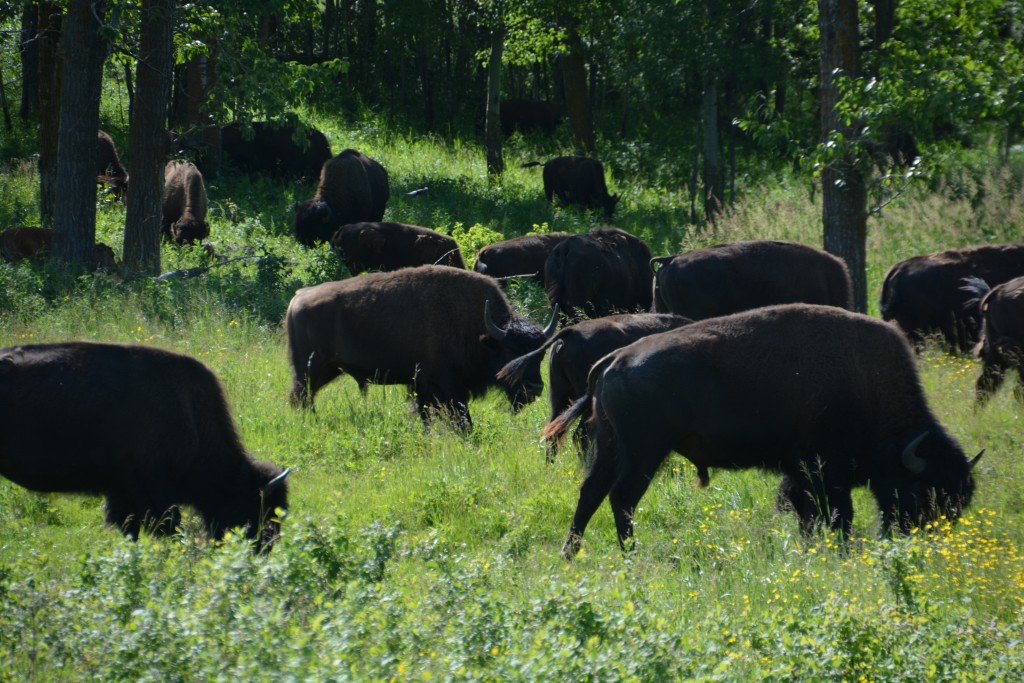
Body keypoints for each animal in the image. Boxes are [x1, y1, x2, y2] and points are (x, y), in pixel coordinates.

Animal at [0, 342, 290, 550]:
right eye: (258, 510)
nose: (263, 549)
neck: (190, 413)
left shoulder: (123, 492)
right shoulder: (153, 489)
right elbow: (168, 528)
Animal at [285, 265, 558, 428]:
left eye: (540, 354)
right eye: (511, 352)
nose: (534, 387)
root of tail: (297, 298)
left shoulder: (427, 389)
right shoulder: (443, 387)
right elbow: (461, 419)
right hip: (309, 370)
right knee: (300, 397)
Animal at [543, 304, 981, 558]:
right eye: (924, 491)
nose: (922, 540)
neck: (866, 384)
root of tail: (613, 359)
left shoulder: (802, 471)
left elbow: (808, 512)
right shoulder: (823, 470)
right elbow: (835, 513)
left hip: (610, 446)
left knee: (591, 492)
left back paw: (571, 554)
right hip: (644, 452)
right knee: (622, 497)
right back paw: (631, 554)